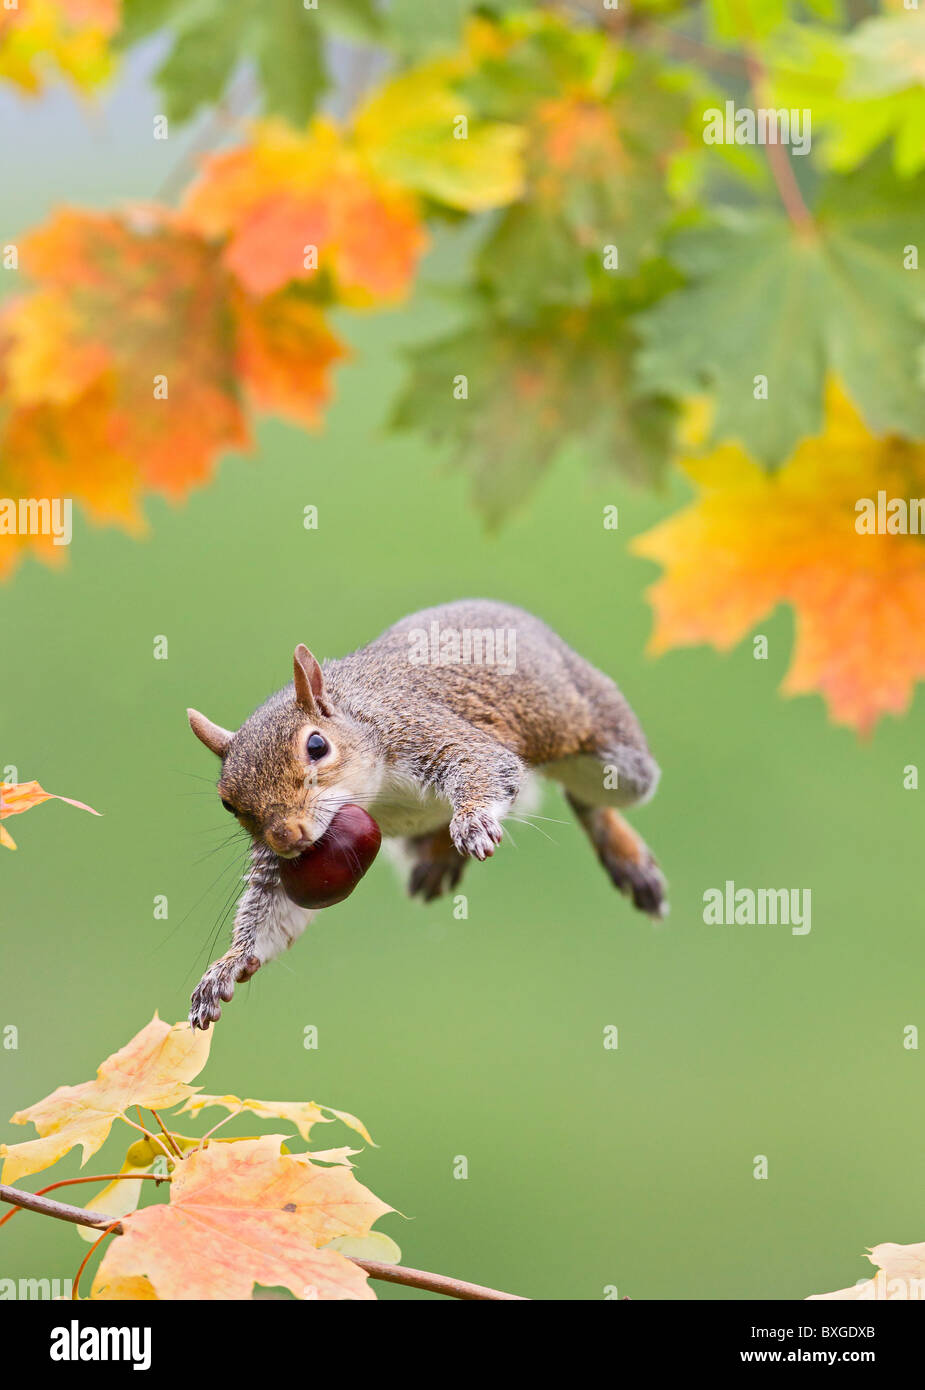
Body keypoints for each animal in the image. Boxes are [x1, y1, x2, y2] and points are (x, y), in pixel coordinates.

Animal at [187, 592, 664, 1028]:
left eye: (317, 746)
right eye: (228, 802)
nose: (287, 837)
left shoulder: (421, 730)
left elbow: (483, 764)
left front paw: (471, 822)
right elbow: (273, 908)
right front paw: (229, 965)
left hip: (614, 754)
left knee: (592, 798)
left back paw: (626, 858)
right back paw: (438, 856)